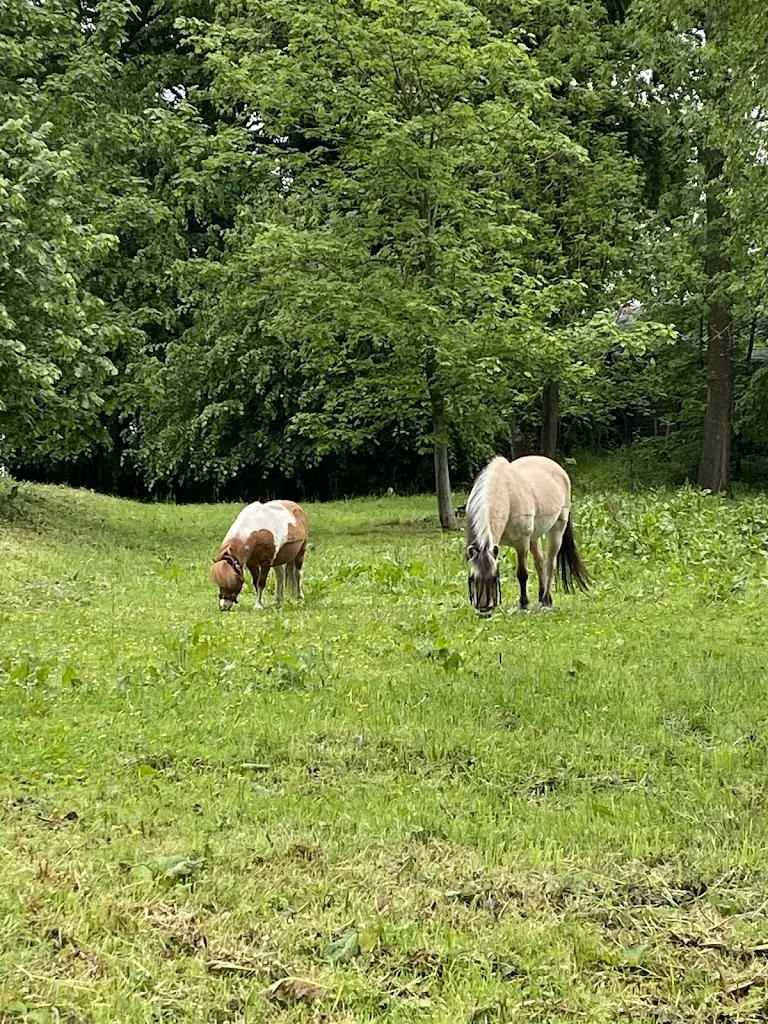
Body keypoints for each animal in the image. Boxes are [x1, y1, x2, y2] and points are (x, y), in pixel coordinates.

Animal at [465, 455, 589, 617]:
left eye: (494, 578)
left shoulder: (521, 543)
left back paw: (546, 601)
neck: (506, 495)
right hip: (534, 537)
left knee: (550, 563)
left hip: (557, 529)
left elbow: (522, 574)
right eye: (472, 578)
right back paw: (541, 597)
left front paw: (524, 605)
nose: (484, 611)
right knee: (540, 562)